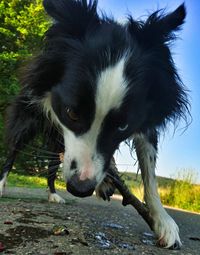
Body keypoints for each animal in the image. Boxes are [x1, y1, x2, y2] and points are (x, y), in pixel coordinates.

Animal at [0, 0, 189, 250]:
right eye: (71, 112)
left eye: (123, 126)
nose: (80, 189)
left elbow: (150, 173)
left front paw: (163, 221)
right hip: (28, 115)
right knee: (15, 148)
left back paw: (57, 193)